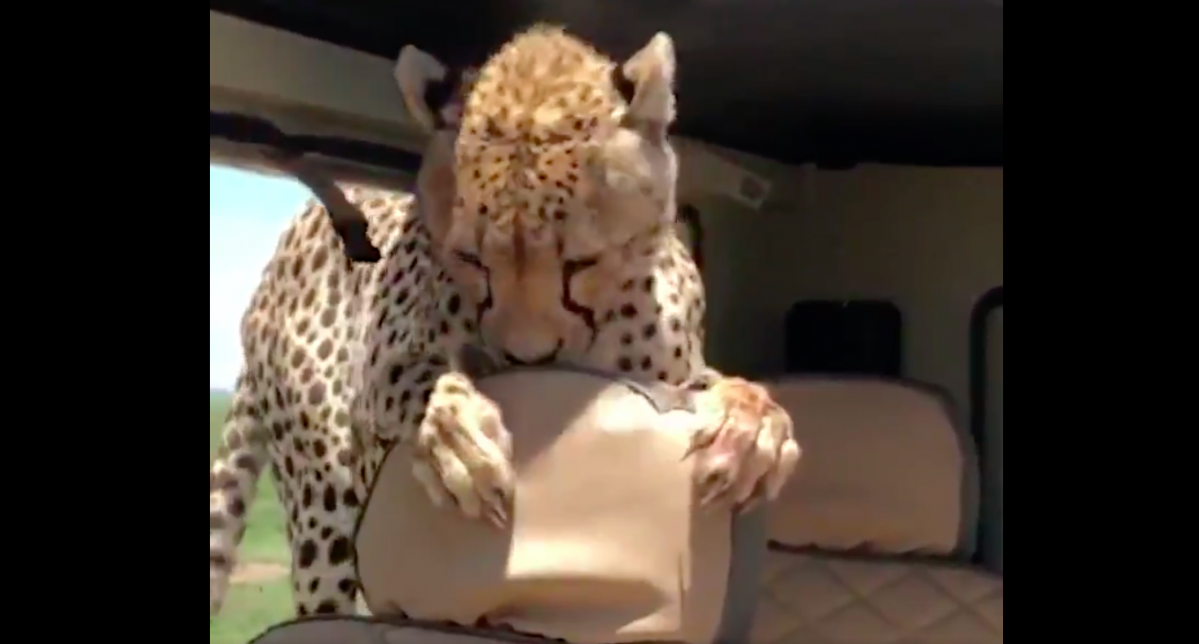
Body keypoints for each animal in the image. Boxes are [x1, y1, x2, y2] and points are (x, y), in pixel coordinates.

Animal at [209, 24, 801, 620]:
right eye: (471, 260)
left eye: (581, 262)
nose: (528, 359)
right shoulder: (375, 393)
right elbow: (413, 381)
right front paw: (458, 441)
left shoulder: (671, 377)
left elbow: (728, 388)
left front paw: (752, 429)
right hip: (323, 509)